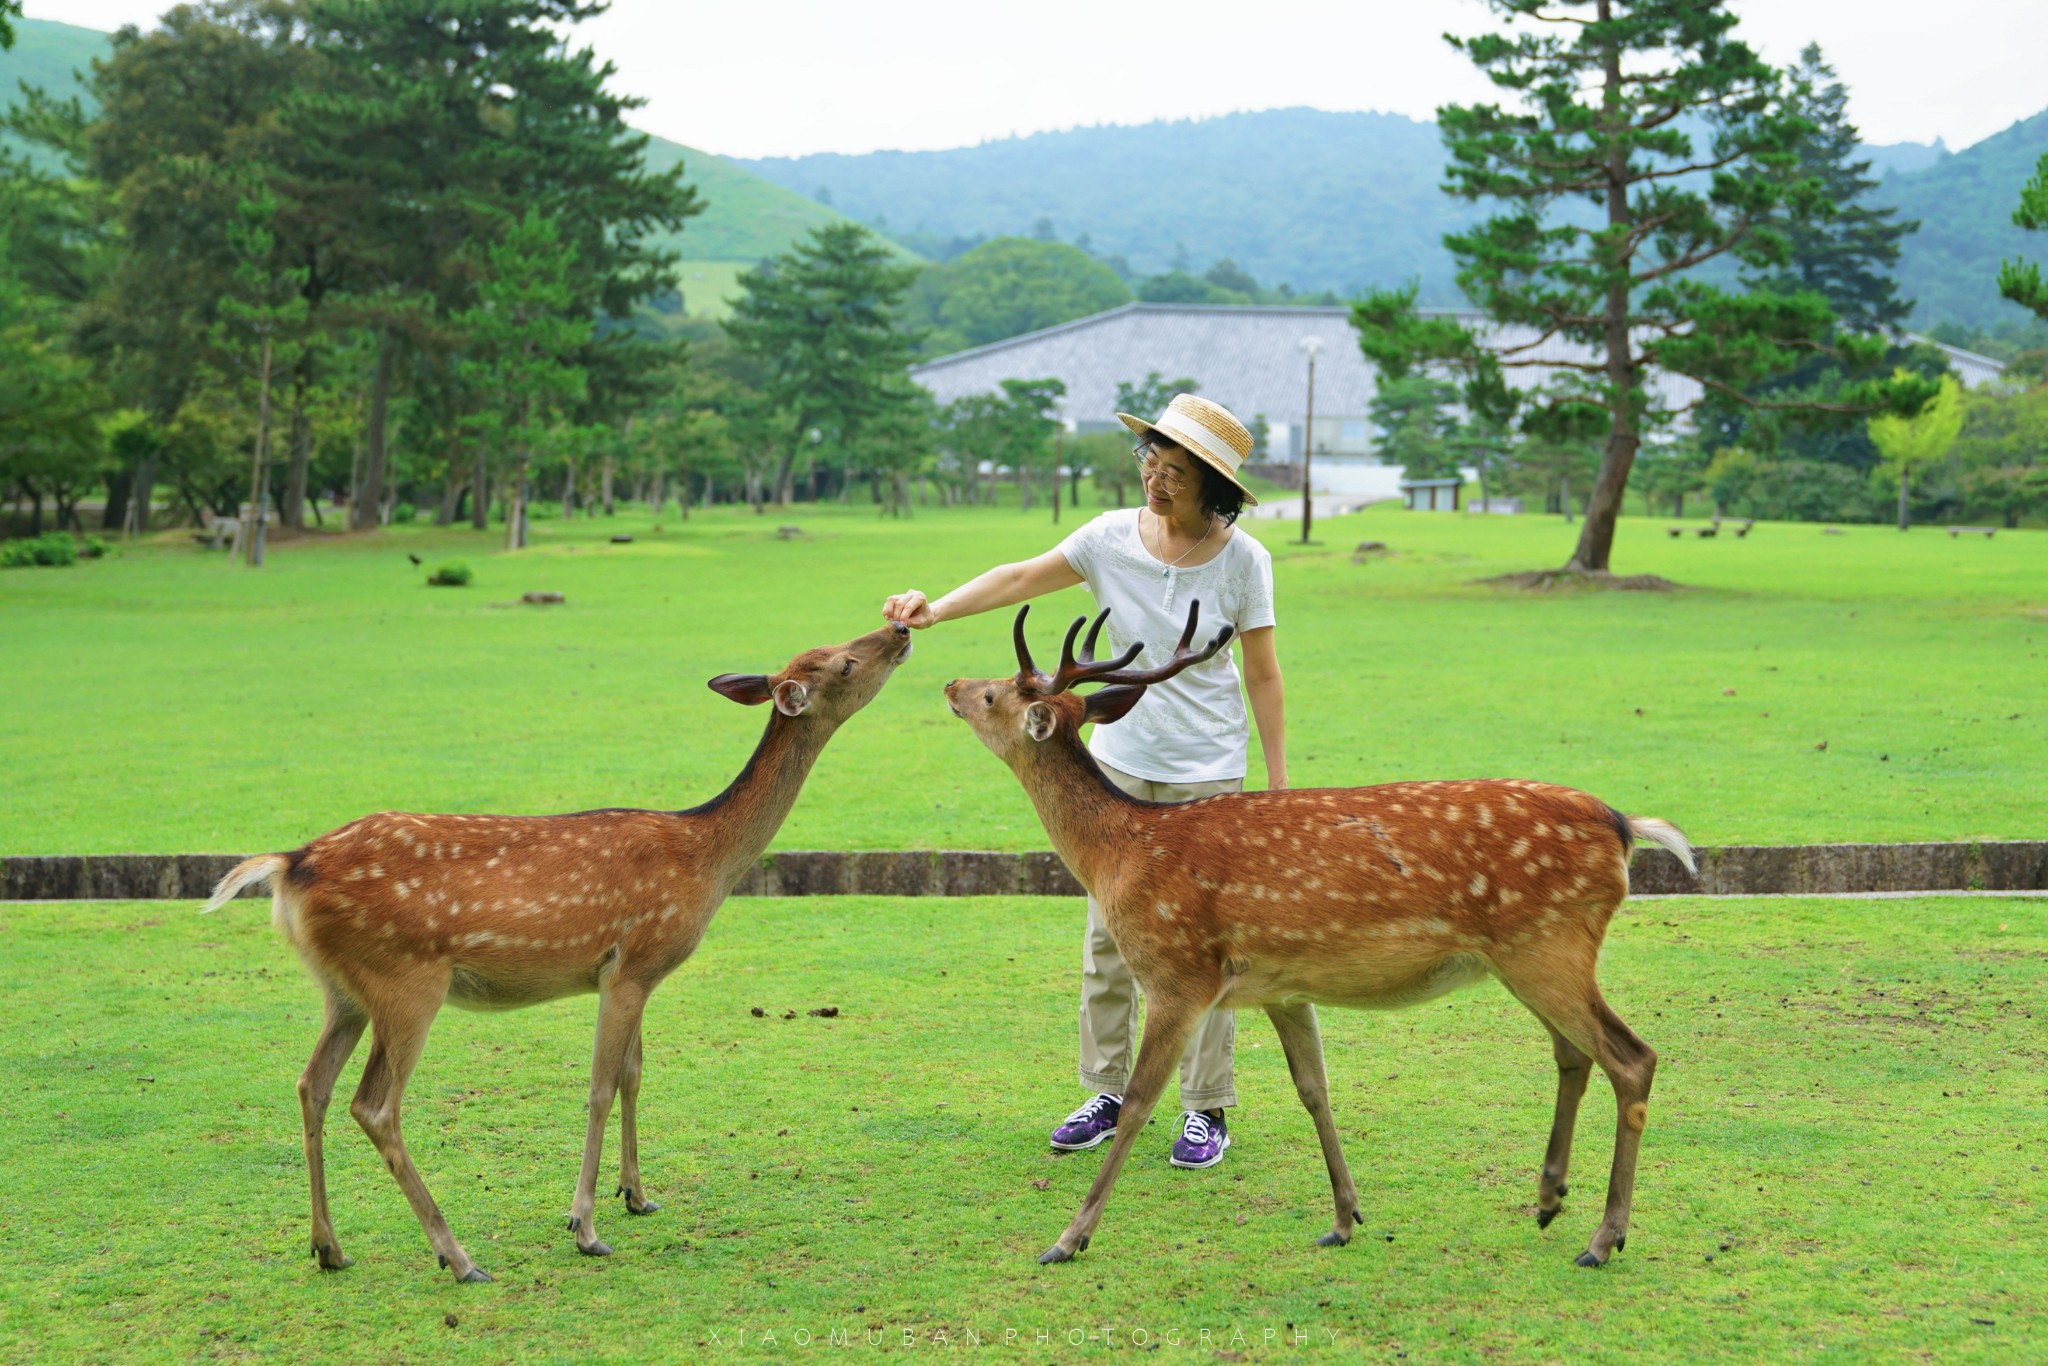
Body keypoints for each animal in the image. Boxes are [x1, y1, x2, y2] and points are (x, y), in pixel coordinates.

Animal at [207, 618, 913, 1286]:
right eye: (845, 662)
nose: (901, 628)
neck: (705, 859)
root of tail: (289, 866)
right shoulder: (634, 961)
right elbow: (600, 1086)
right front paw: (585, 1227)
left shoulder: (634, 973)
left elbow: (633, 1074)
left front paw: (638, 1196)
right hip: (405, 981)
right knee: (374, 1105)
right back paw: (458, 1257)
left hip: (343, 990)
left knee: (311, 1084)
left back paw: (329, 1248)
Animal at [946, 606, 1695, 1269]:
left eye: (993, 694)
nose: (951, 684)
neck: (1118, 856)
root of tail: (1624, 827)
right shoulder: (1279, 986)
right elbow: (1314, 1089)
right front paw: (1344, 1218)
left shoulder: (1178, 972)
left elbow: (1137, 1104)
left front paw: (1068, 1239)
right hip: (1532, 957)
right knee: (1573, 1055)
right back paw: (1548, 1197)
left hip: (1548, 945)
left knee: (1632, 1057)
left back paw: (1603, 1238)